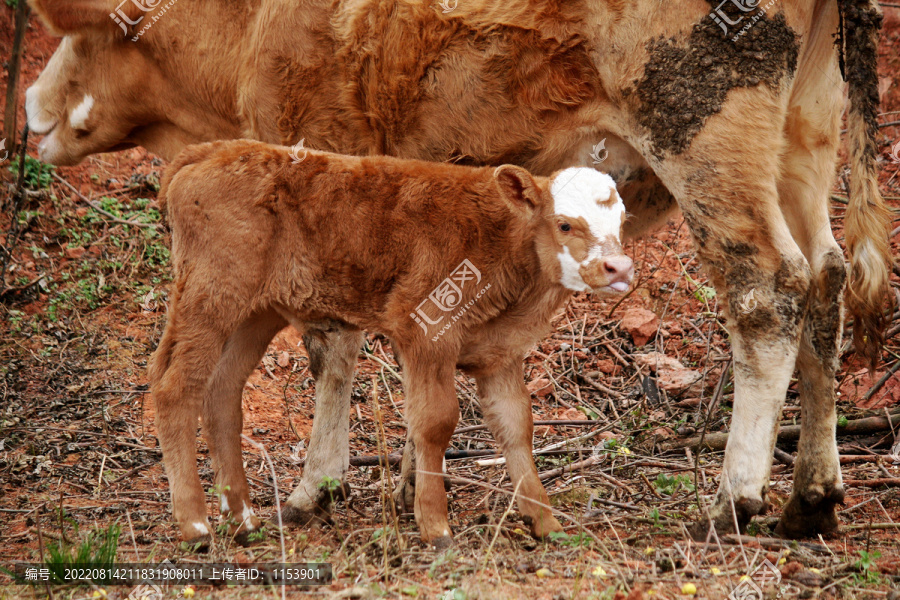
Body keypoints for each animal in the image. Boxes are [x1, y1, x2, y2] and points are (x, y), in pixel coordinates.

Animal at [151, 139, 632, 544]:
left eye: (622, 222)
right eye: (565, 224)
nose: (619, 268)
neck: (502, 239)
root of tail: (209, 151)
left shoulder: (500, 353)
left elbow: (516, 426)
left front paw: (545, 521)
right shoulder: (425, 332)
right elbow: (436, 422)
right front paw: (435, 525)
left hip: (255, 313)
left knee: (221, 392)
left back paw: (244, 519)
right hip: (211, 299)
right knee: (174, 390)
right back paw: (195, 525)